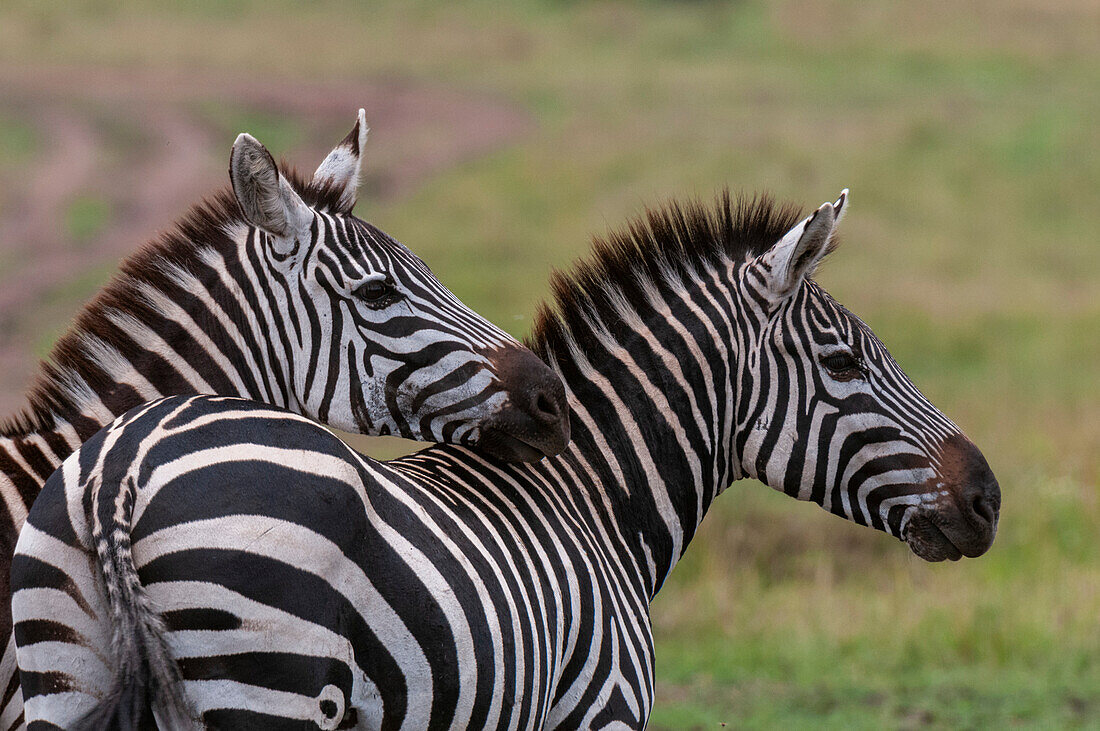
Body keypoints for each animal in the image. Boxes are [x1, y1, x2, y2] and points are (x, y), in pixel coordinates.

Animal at [12, 186, 1003, 725]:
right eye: (842, 363)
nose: (989, 497)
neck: (595, 496)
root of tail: (120, 470)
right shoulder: (599, 709)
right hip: (265, 685)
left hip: (60, 679)